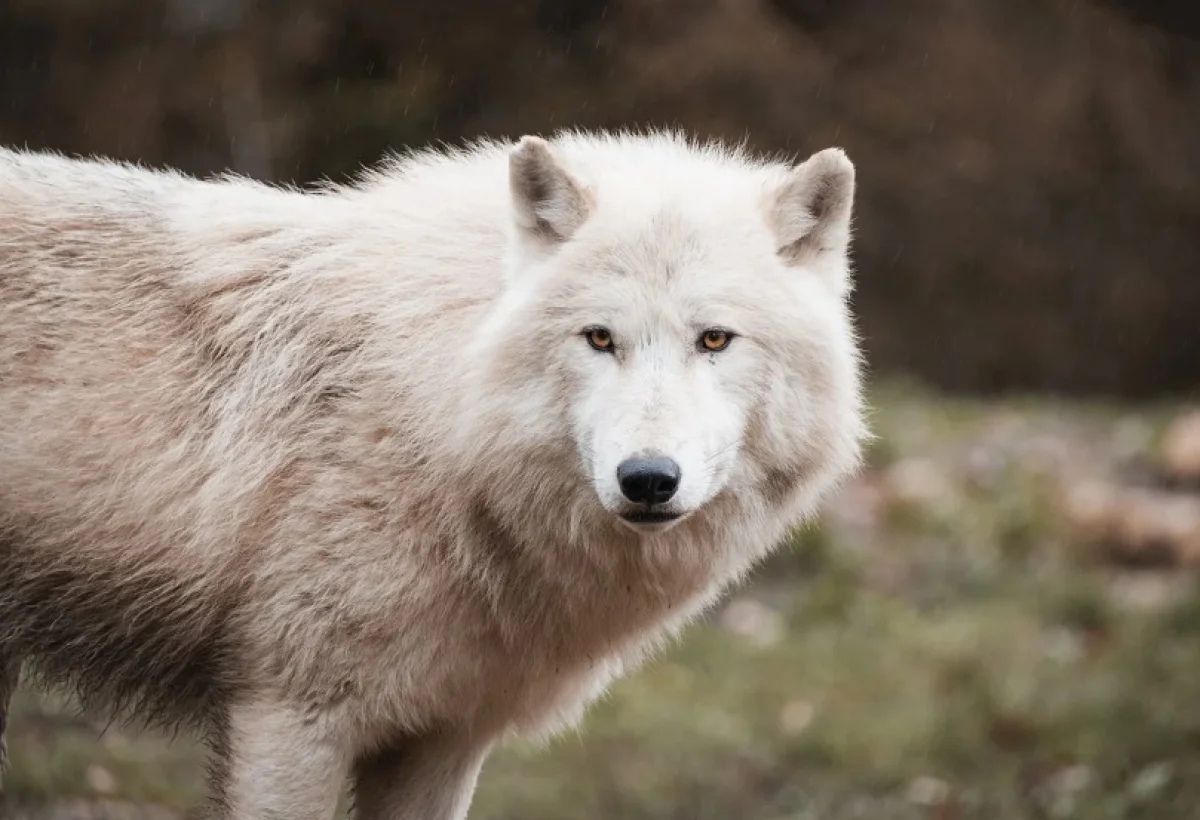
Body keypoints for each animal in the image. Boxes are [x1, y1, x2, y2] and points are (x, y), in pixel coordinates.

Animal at [0, 131, 868, 816]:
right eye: (599, 338)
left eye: (715, 339)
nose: (647, 479)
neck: (443, 417)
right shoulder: (286, 718)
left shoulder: (443, 740)